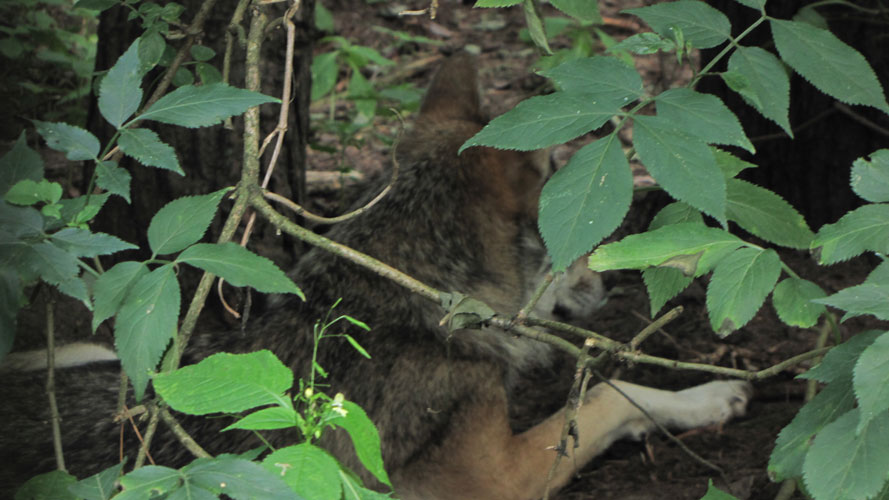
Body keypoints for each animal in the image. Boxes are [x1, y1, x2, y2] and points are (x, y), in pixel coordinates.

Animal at [0, 52, 750, 499]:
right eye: (571, 227)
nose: (609, 288)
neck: (410, 300)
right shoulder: (499, 479)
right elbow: (612, 395)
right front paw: (710, 396)